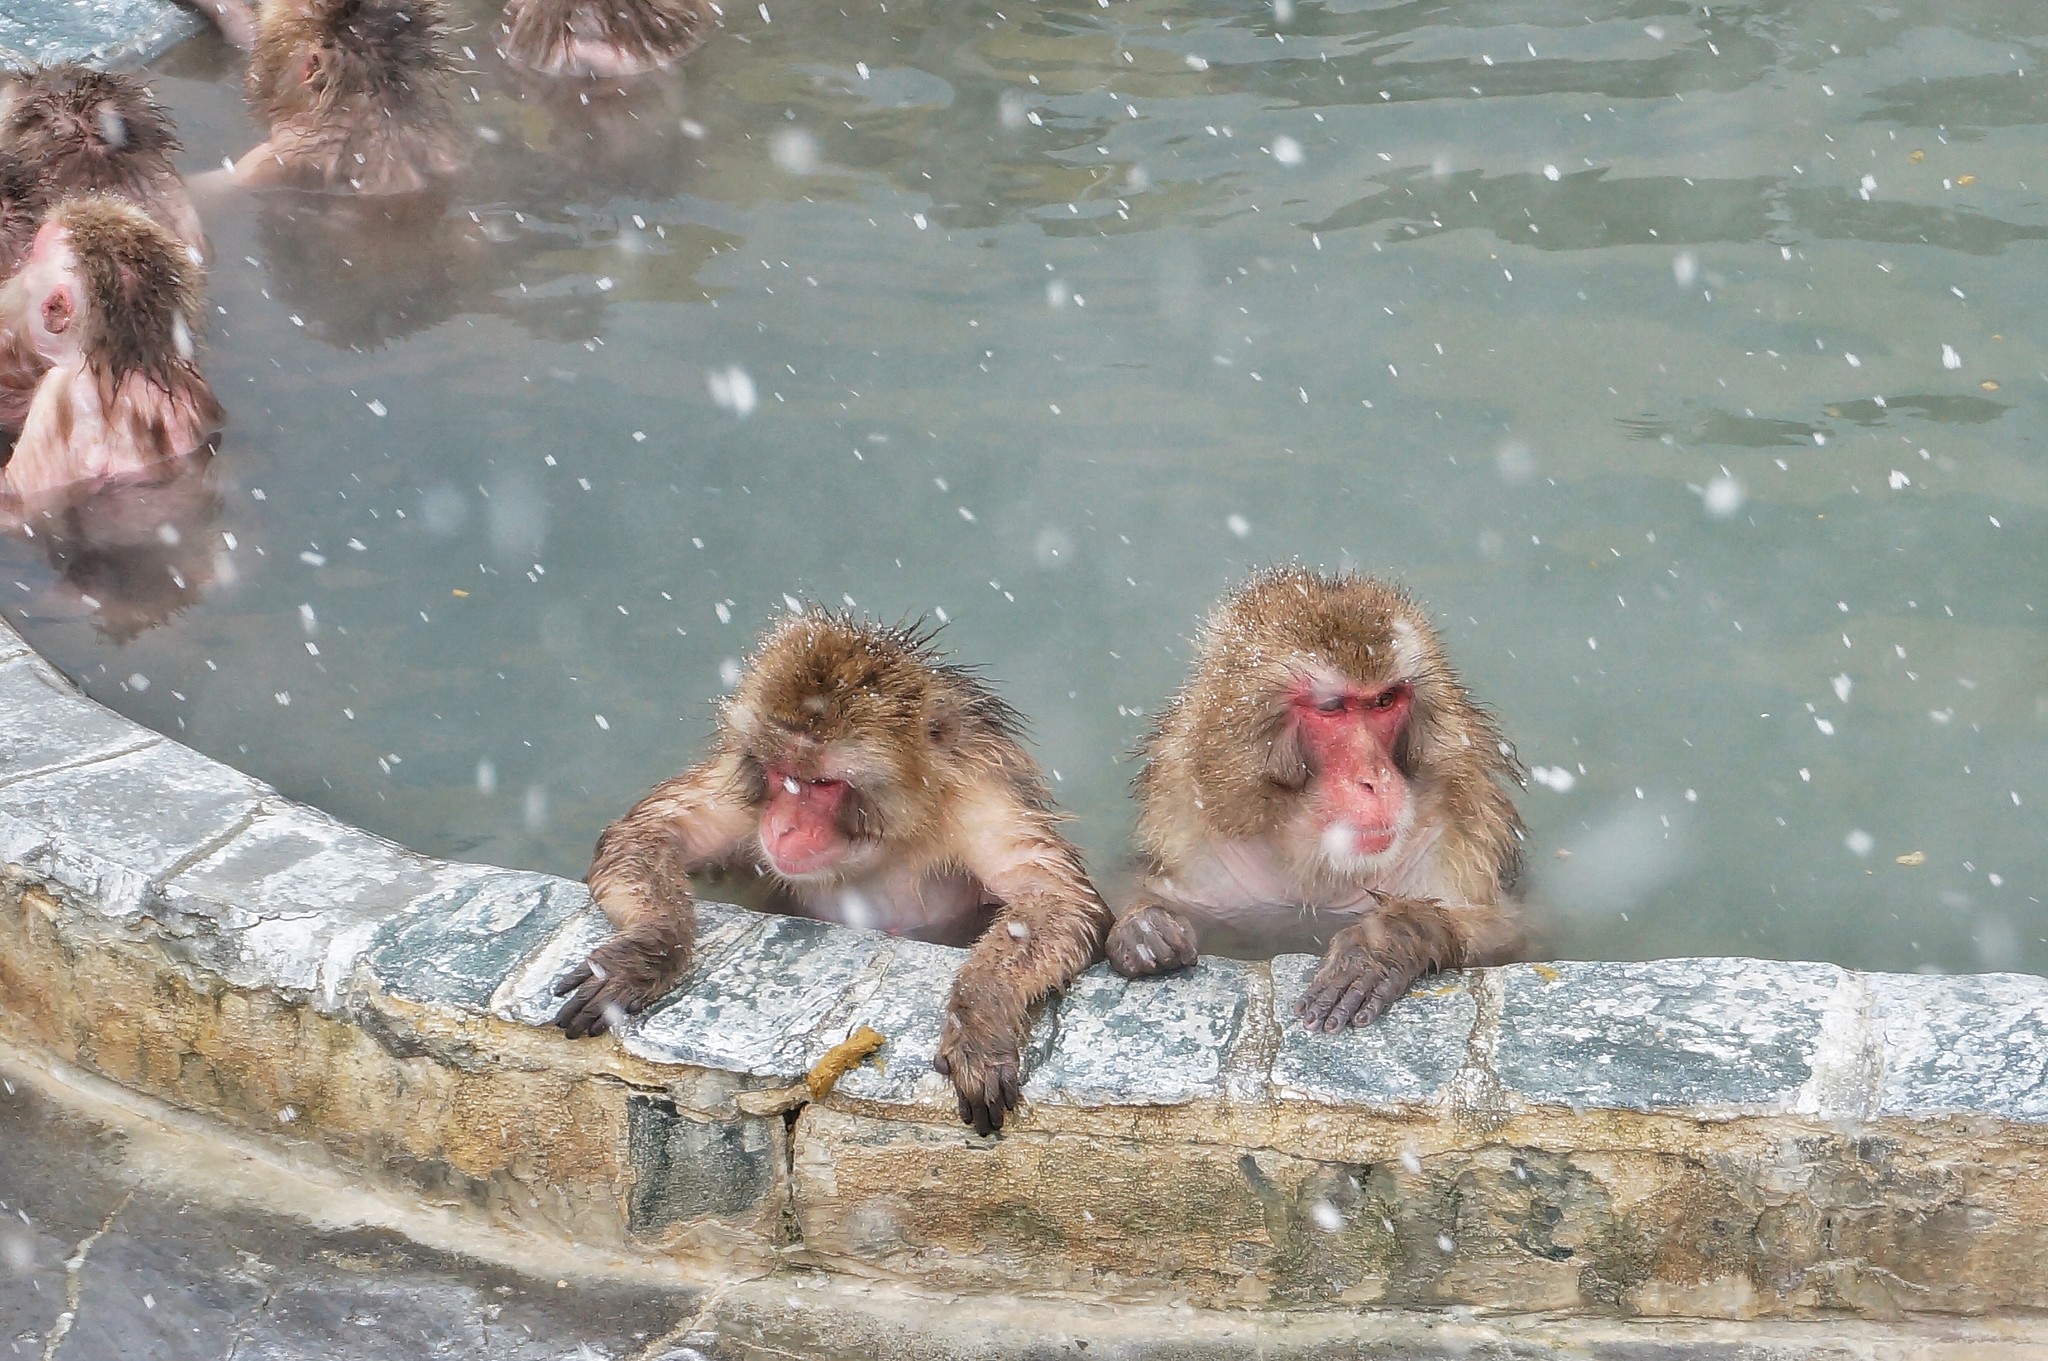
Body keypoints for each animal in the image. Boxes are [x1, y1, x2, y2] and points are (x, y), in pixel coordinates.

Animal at [552, 609, 1114, 1129]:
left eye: (822, 784)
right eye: (779, 773)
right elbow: (648, 830)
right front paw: (642, 954)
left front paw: (979, 1020)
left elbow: (1057, 897)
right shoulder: (744, 800)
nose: (781, 828)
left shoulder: (982, 805)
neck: (886, 841)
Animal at [1114, 568, 1531, 1031]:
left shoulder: (1453, 838)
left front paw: (1386, 943)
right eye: (1331, 707)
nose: (1375, 779)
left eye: (1384, 700)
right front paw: (1142, 928)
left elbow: (1508, 932)